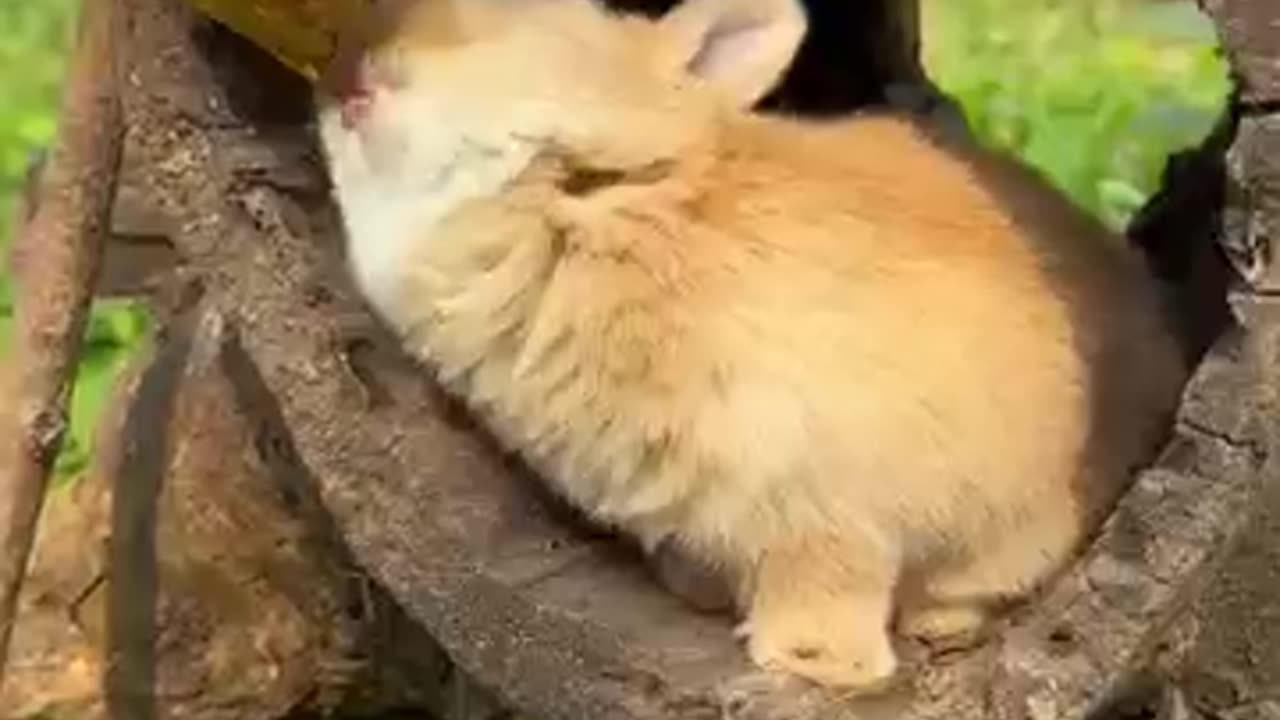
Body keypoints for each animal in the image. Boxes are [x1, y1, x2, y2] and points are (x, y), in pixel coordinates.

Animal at [312, 0, 1187, 691]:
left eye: (525, 22)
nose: (352, 70)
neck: (613, 205)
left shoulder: (830, 515)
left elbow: (829, 595)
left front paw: (811, 659)